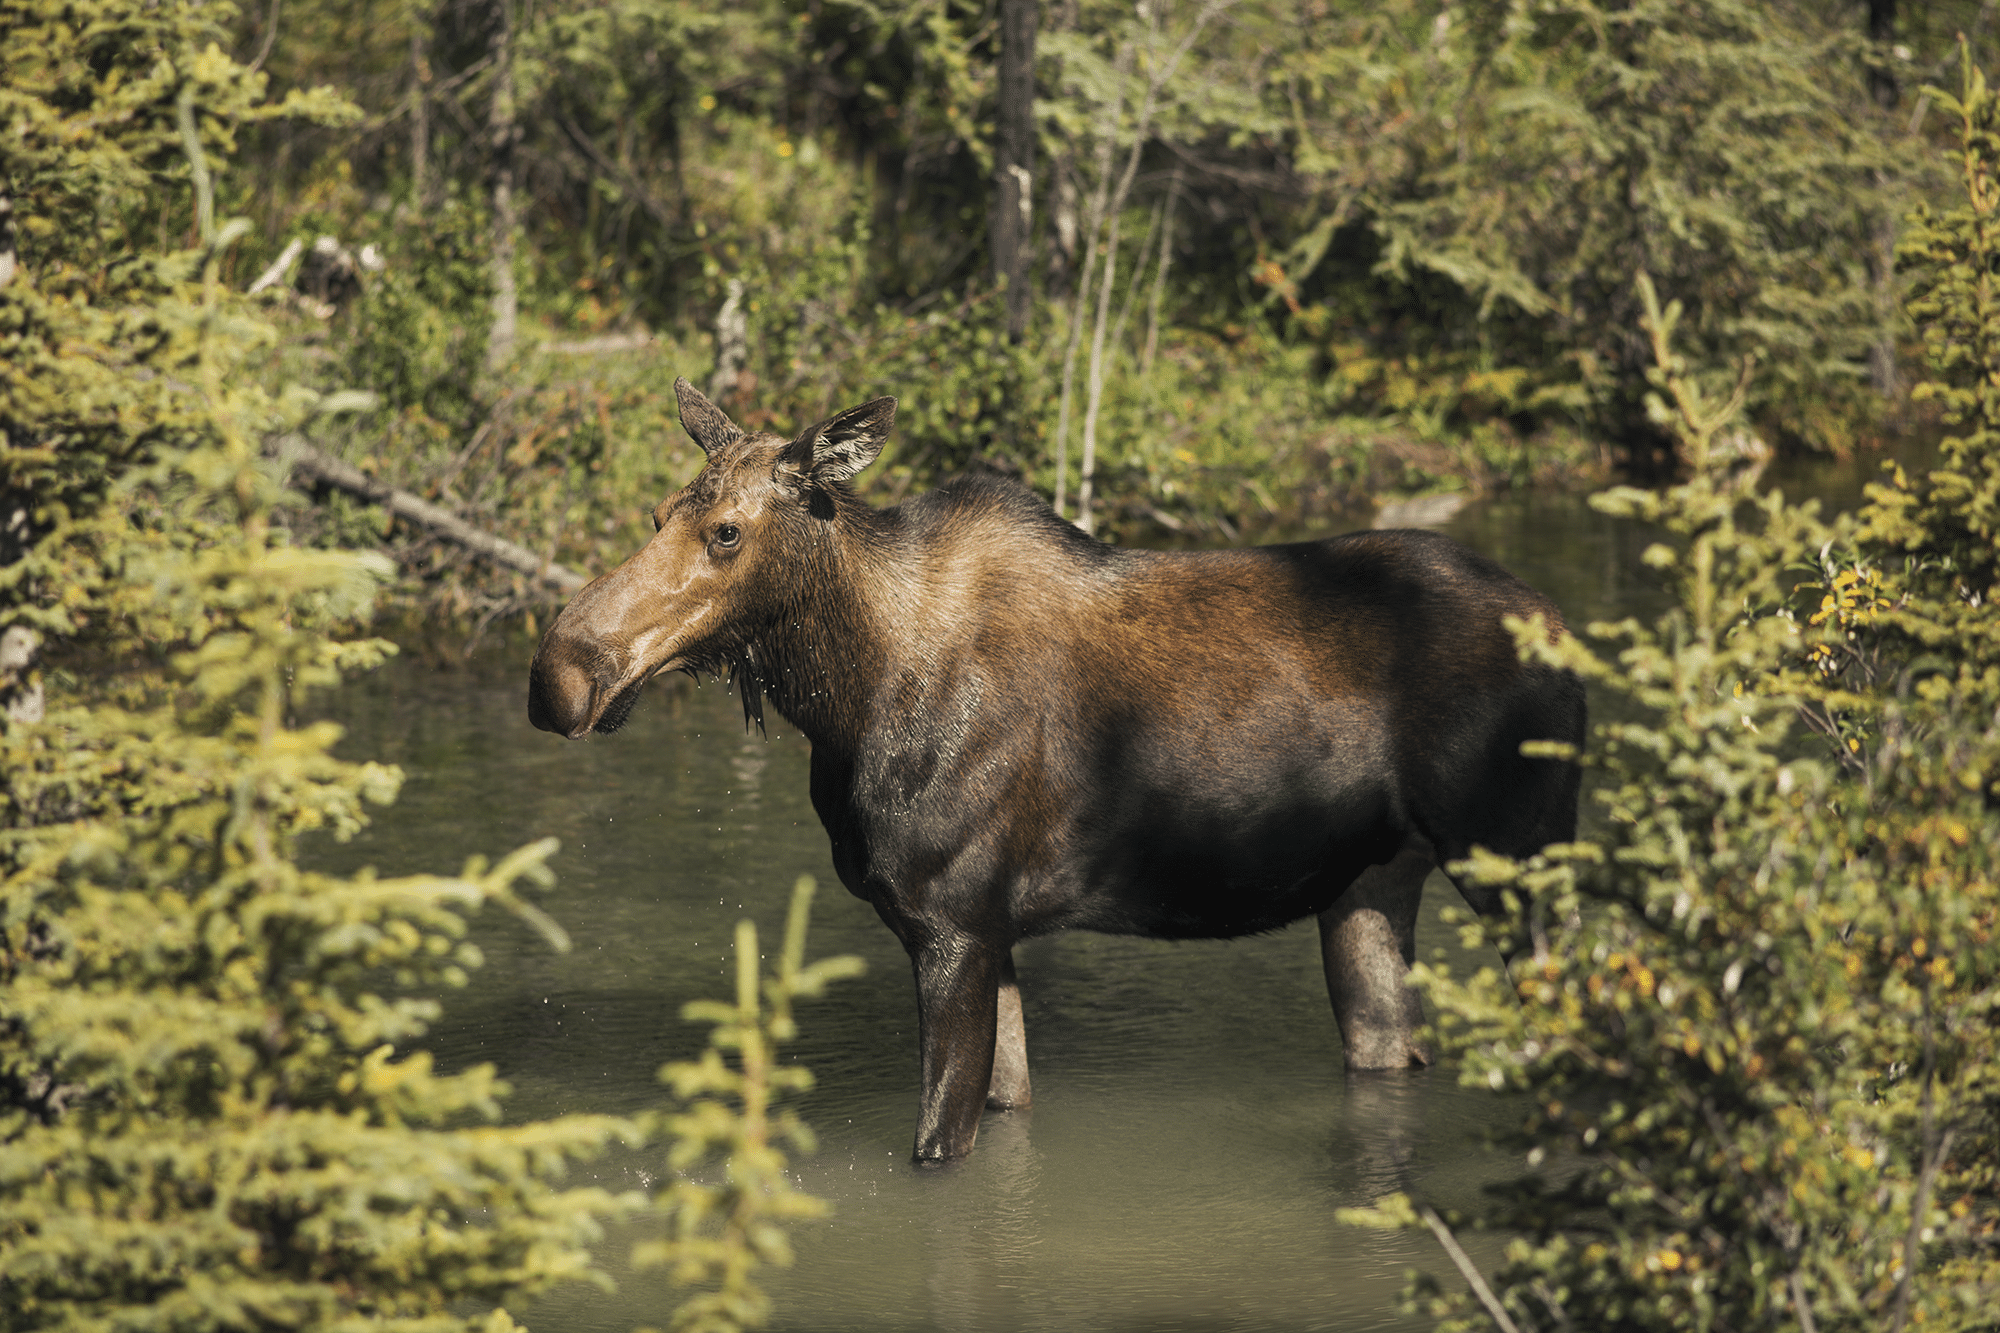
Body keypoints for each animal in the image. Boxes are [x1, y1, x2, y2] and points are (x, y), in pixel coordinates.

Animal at [524, 378, 1584, 1160]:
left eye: (727, 532)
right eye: (658, 512)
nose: (559, 673)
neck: (845, 699)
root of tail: (1571, 634)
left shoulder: (952, 922)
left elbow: (935, 1149)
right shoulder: (986, 932)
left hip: (1522, 864)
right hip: (1369, 884)